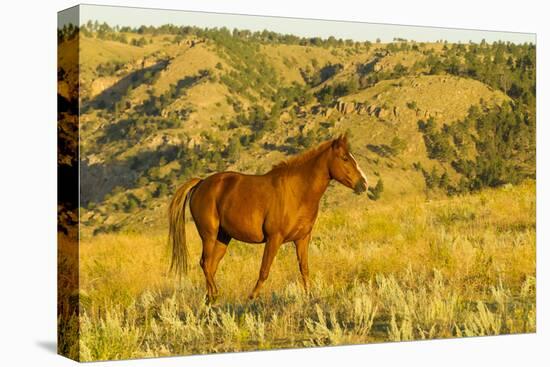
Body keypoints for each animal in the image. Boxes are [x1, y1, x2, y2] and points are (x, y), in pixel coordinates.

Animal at [167, 135, 366, 302]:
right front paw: (252, 297)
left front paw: (309, 296)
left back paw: (210, 299)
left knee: (211, 265)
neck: (297, 192)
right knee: (205, 263)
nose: (363, 184)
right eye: (345, 158)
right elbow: (264, 270)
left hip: (223, 238)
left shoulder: (302, 239)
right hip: (209, 235)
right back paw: (214, 295)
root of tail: (201, 183)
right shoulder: (274, 239)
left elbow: (304, 269)